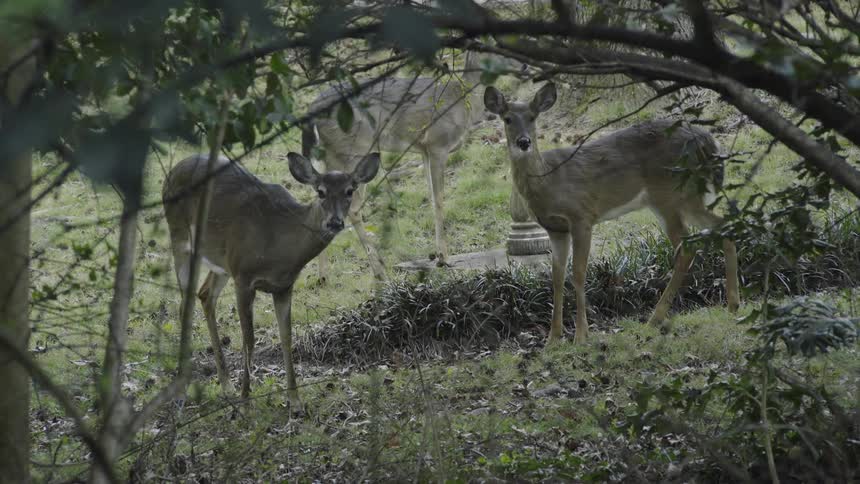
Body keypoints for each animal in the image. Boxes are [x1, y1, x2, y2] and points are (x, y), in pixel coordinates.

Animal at [162, 151, 380, 409]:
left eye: (349, 190)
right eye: (320, 191)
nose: (335, 222)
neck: (278, 243)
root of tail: (175, 169)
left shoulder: (284, 286)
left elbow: (287, 337)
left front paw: (295, 401)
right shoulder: (243, 277)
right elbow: (249, 340)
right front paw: (246, 401)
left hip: (221, 260)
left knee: (205, 295)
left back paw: (226, 384)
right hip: (179, 237)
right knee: (185, 305)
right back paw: (180, 393)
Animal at [304, 51, 521, 282]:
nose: (525, 65)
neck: (464, 102)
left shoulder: (424, 150)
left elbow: (430, 195)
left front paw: (437, 254)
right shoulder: (437, 145)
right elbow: (439, 199)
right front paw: (443, 257)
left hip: (331, 158)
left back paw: (324, 276)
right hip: (352, 153)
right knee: (352, 208)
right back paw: (380, 272)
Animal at [483, 83, 740, 343]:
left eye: (532, 117)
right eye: (507, 119)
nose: (524, 142)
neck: (549, 181)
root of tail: (709, 142)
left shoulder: (582, 216)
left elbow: (578, 272)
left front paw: (581, 335)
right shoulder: (555, 229)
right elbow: (556, 277)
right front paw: (553, 339)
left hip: (672, 194)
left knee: (688, 246)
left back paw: (655, 319)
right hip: (684, 196)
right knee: (721, 226)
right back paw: (732, 305)